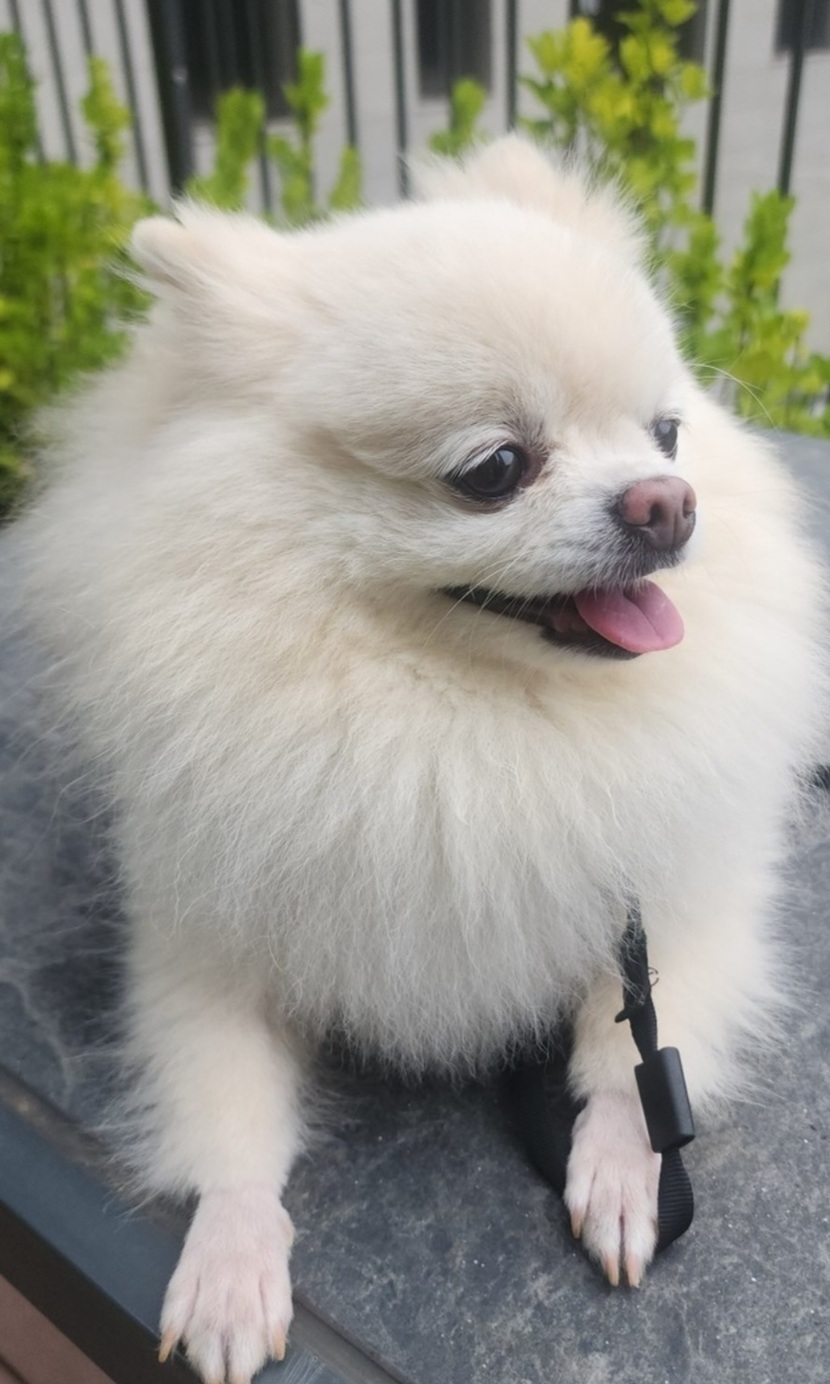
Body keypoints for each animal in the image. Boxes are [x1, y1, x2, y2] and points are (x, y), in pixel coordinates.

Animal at [18, 136, 826, 1383]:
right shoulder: (202, 924)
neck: (457, 725)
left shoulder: (677, 896)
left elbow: (633, 1052)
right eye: (493, 468)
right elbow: (225, 1103)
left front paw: (618, 1163)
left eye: (665, 434)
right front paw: (231, 1258)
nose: (668, 502)